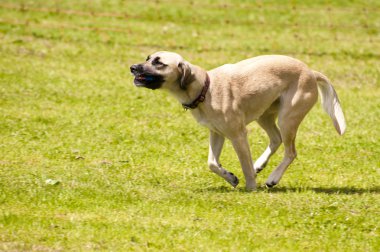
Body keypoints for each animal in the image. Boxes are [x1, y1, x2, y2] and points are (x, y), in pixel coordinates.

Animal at [131, 51, 348, 191]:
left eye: (159, 62)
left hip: (288, 118)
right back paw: (259, 164)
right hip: (264, 115)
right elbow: (212, 163)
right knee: (276, 139)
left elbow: (244, 165)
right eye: (148, 58)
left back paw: (273, 178)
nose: (132, 67)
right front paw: (231, 178)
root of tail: (311, 72)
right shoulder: (216, 133)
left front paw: (251, 188)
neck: (205, 89)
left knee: (290, 152)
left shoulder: (238, 135)